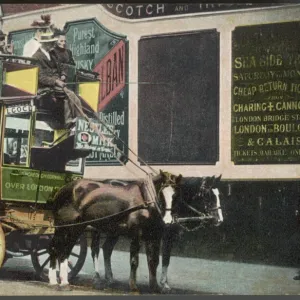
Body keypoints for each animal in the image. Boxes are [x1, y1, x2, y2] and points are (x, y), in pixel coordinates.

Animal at [48, 171, 182, 292]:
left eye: (176, 196)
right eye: (162, 194)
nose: (168, 221)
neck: (146, 199)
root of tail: (62, 189)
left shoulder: (154, 236)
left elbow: (154, 261)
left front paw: (155, 287)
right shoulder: (136, 234)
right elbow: (135, 261)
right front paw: (133, 286)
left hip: (77, 228)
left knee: (62, 249)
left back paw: (59, 281)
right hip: (66, 227)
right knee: (59, 249)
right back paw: (59, 282)